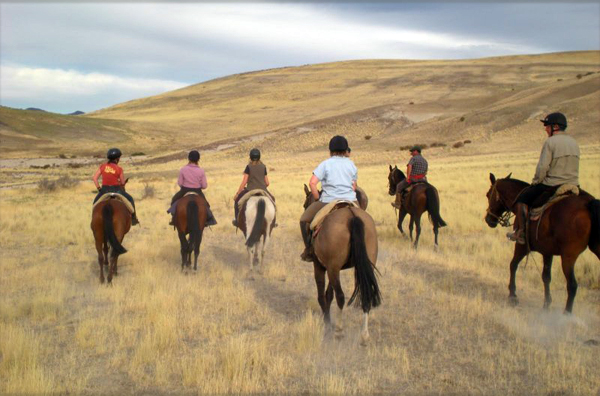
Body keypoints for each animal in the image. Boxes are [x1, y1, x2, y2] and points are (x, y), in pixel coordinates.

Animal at [302, 186, 382, 344]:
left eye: (305, 204)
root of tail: (352, 216)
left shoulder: (321, 266)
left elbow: (322, 295)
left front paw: (327, 323)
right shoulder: (332, 267)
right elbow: (329, 294)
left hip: (333, 268)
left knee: (340, 296)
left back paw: (339, 330)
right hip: (362, 265)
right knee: (366, 294)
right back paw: (364, 335)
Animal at [482, 173, 600, 312]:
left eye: (488, 194)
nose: (488, 220)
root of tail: (589, 204)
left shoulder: (522, 246)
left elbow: (513, 265)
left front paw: (512, 295)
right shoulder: (547, 251)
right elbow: (546, 277)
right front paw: (547, 303)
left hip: (568, 256)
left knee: (572, 285)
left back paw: (567, 314)